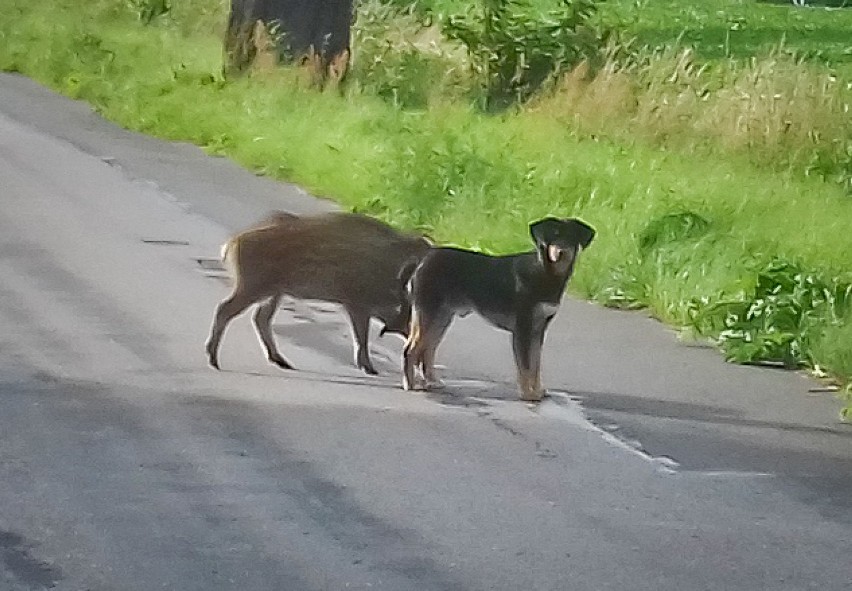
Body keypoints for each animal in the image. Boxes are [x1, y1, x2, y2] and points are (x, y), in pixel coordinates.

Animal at [404, 217, 592, 402]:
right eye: (552, 237)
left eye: (570, 238)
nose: (560, 252)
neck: (543, 271)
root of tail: (425, 259)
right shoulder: (523, 329)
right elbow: (525, 366)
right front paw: (528, 394)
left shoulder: (538, 329)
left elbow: (536, 363)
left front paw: (538, 390)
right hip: (429, 314)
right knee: (411, 349)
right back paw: (411, 384)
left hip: (441, 318)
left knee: (428, 350)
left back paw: (432, 381)